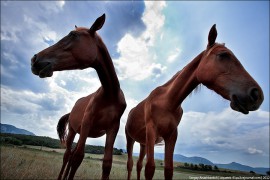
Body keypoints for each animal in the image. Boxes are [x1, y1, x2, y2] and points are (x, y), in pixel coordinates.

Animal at [30, 14, 126, 180]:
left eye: (73, 35)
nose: (35, 59)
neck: (110, 94)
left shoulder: (113, 128)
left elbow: (107, 163)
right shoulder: (87, 122)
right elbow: (78, 157)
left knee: (71, 155)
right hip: (73, 132)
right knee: (68, 155)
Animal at [125, 24, 264, 180]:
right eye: (223, 55)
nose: (257, 94)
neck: (168, 102)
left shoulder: (171, 135)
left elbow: (168, 169)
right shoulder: (151, 130)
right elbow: (150, 168)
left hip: (143, 143)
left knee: (138, 165)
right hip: (130, 138)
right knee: (130, 164)